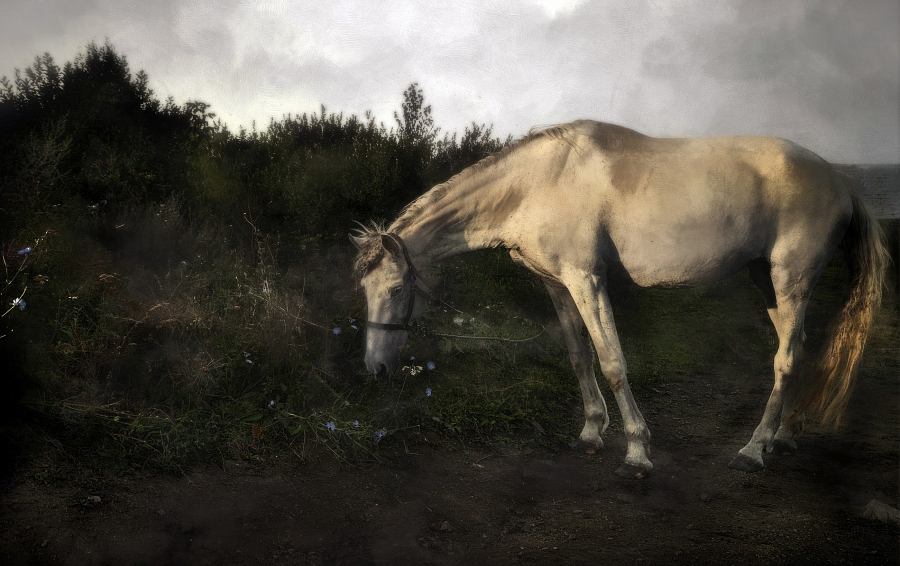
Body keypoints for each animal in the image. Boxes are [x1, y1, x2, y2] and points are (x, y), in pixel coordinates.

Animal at [350, 120, 888, 478]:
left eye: (396, 289)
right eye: (365, 291)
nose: (374, 368)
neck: (537, 183)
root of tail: (841, 181)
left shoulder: (587, 280)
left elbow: (612, 362)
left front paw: (636, 453)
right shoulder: (557, 284)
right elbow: (578, 356)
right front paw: (591, 432)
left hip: (792, 280)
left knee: (786, 360)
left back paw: (753, 450)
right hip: (768, 282)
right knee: (796, 351)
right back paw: (784, 436)